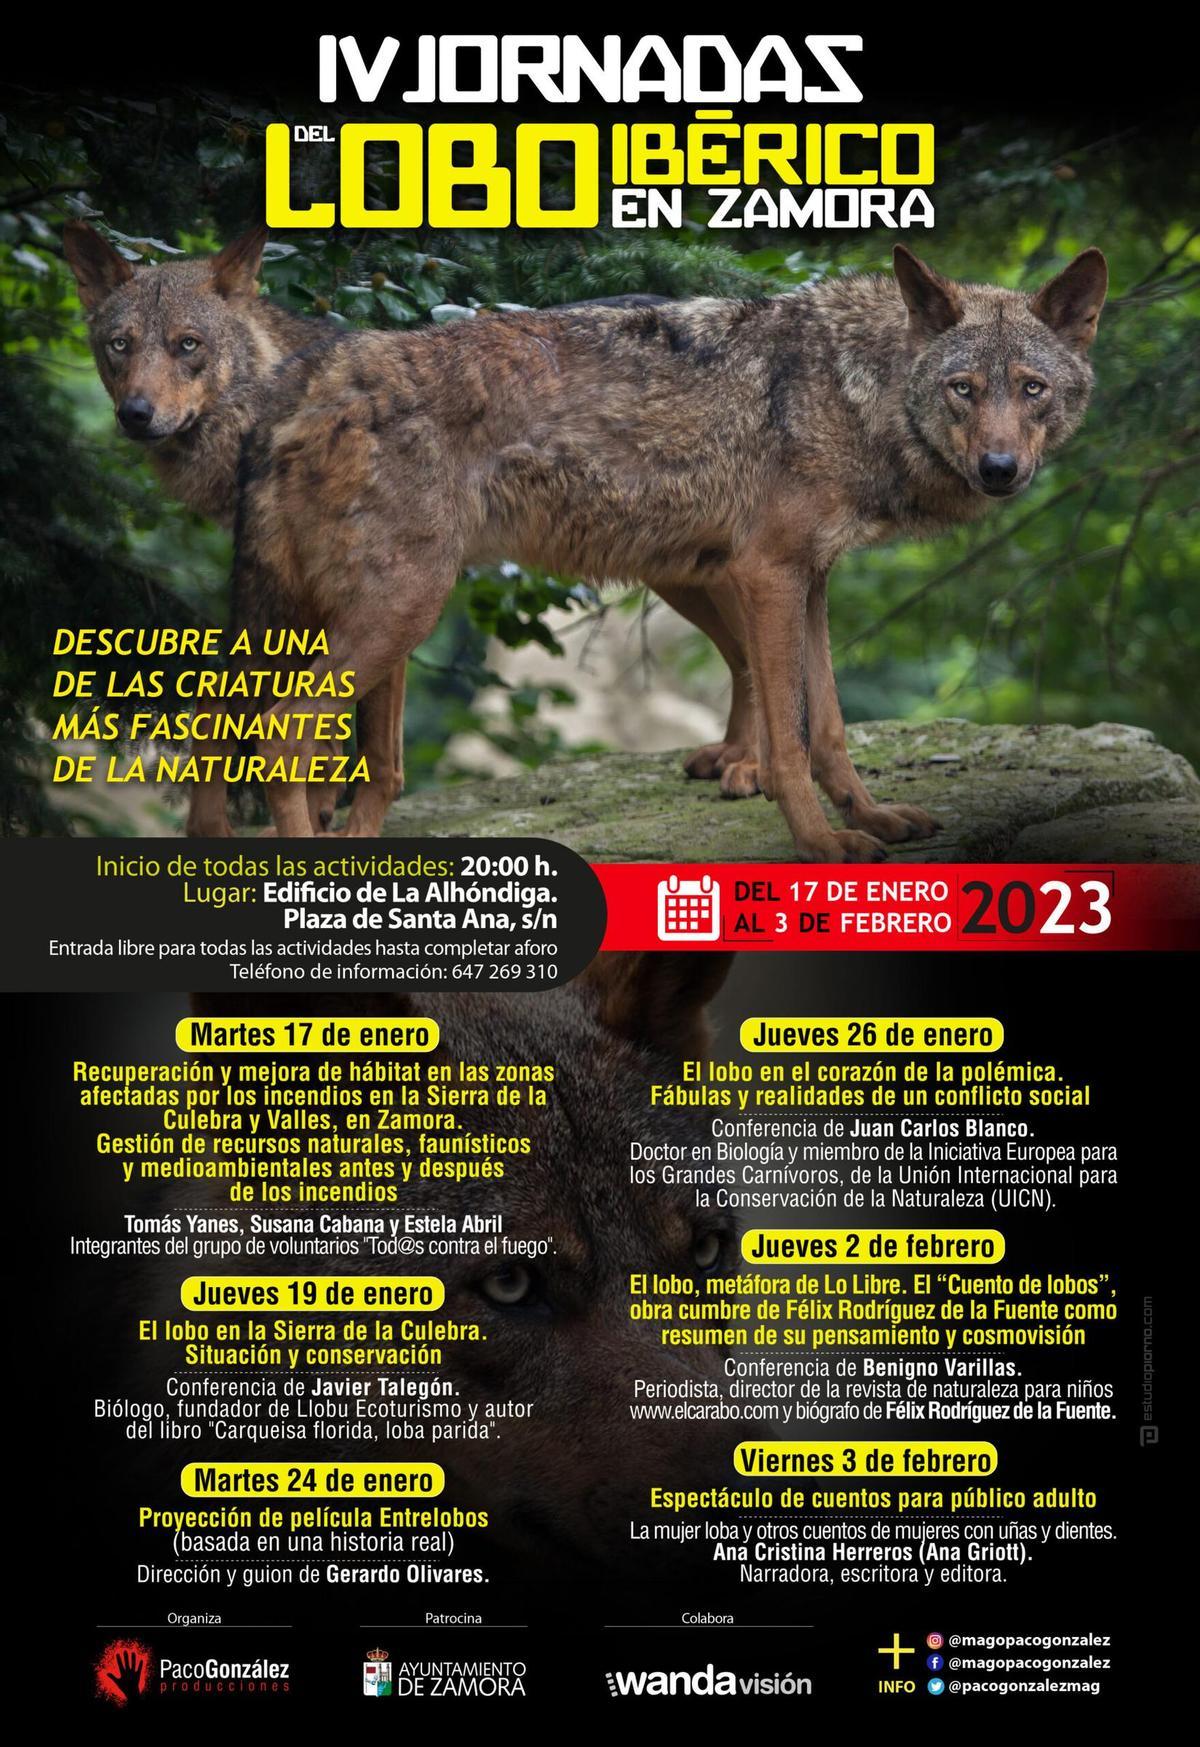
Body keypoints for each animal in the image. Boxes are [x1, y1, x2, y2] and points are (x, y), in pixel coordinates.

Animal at [65, 223, 1106, 857]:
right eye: (964, 389)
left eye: (1032, 390)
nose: (1002, 469)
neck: (853, 387)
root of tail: (300, 387)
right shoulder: (772, 573)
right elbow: (793, 743)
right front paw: (819, 843)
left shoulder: (807, 582)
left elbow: (832, 727)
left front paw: (875, 817)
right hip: (400, 607)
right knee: (279, 737)